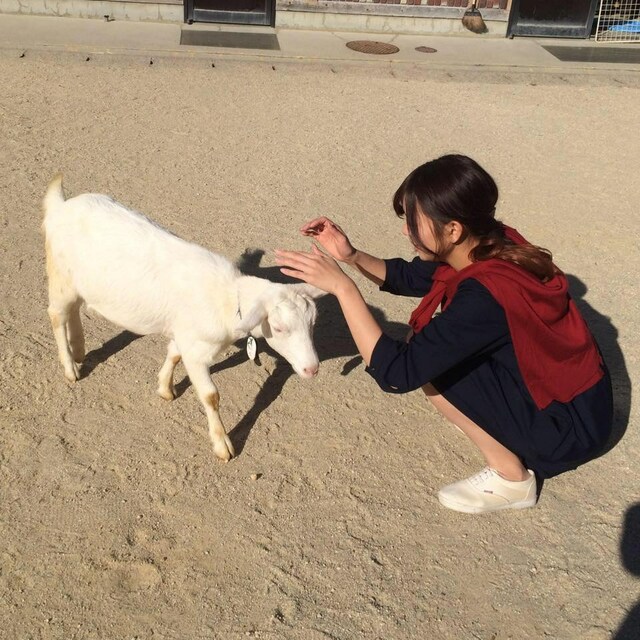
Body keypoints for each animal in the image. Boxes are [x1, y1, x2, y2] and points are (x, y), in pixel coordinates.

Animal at [42, 175, 323, 461]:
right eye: (278, 327)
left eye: (313, 324)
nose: (312, 369)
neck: (228, 298)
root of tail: (61, 205)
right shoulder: (197, 351)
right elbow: (211, 395)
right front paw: (223, 445)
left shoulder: (186, 334)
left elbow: (174, 354)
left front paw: (165, 388)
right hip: (60, 277)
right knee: (56, 315)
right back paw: (70, 368)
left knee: (74, 310)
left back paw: (79, 350)